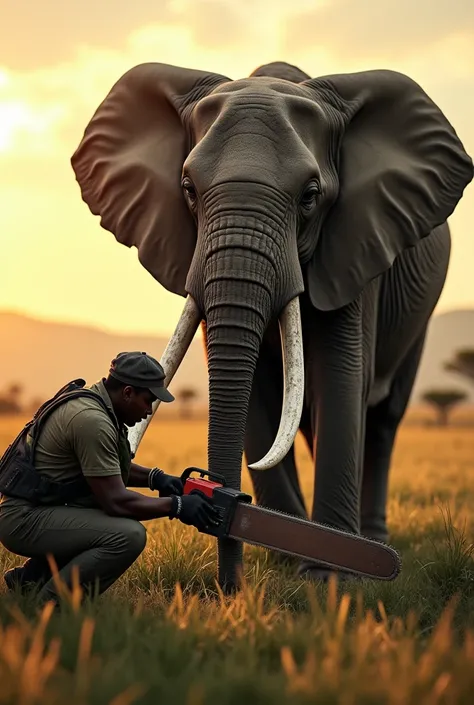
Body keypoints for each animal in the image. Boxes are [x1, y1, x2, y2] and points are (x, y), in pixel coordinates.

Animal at [68, 59, 472, 588]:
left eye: (310, 196)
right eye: (188, 190)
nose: (229, 586)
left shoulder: (356, 248)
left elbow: (340, 379)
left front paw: (329, 579)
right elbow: (257, 393)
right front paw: (281, 557)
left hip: (417, 316)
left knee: (383, 418)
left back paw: (372, 542)